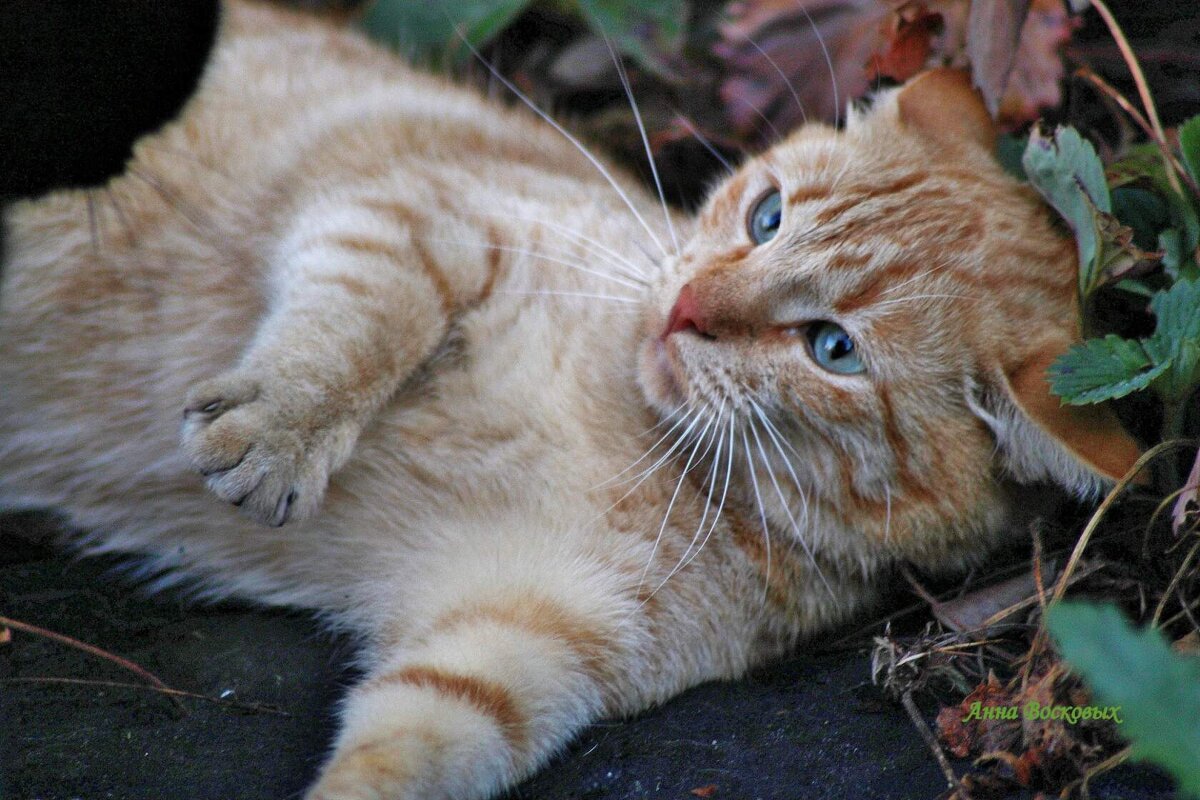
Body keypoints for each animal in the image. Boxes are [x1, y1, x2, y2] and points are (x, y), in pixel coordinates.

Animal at [0, 3, 1142, 796]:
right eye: (766, 216)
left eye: (833, 348)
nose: (684, 307)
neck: (647, 441)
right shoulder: (419, 214)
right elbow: (359, 323)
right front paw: (283, 428)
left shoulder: (518, 636)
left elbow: (405, 753)